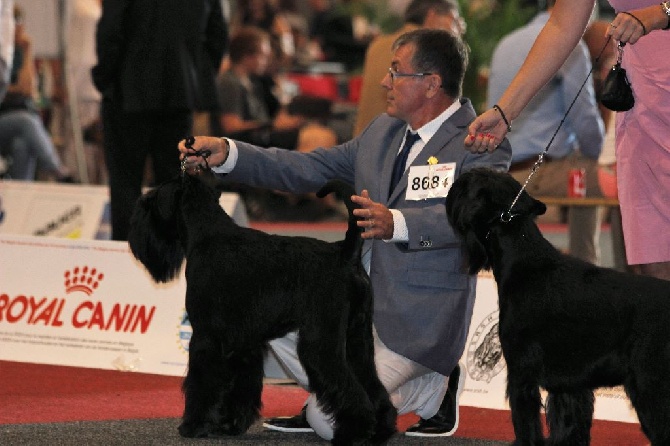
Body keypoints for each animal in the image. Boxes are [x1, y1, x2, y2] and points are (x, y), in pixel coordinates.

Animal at [129, 172, 396, 446]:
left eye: (150, 200)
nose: (135, 230)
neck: (206, 235)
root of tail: (344, 253)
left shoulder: (205, 337)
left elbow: (202, 384)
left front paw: (194, 425)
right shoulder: (243, 343)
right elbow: (241, 388)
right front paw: (230, 425)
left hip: (321, 345)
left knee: (350, 389)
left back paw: (353, 434)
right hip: (358, 340)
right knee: (373, 386)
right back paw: (380, 431)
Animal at [446, 168, 670, 446]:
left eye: (467, 185)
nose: (456, 182)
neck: (525, 263)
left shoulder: (521, 375)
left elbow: (526, 424)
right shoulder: (570, 385)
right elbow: (568, 428)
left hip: (651, 387)